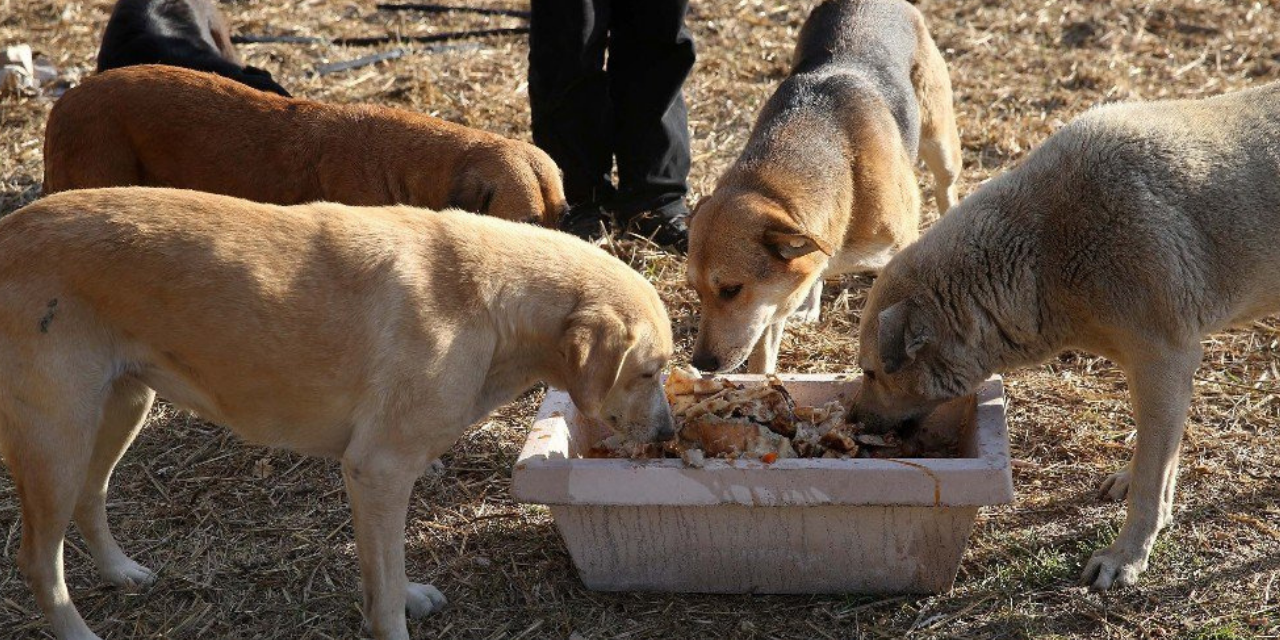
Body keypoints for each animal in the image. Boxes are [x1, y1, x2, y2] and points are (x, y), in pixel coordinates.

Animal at [0, 186, 675, 640]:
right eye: (650, 371)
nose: (670, 437)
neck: (489, 303)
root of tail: (10, 230)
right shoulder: (379, 469)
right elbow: (384, 588)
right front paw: (396, 619)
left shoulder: (373, 480)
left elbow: (384, 572)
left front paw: (408, 595)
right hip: (56, 439)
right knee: (38, 559)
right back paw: (78, 629)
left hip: (121, 409)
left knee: (91, 500)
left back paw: (121, 572)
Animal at [691, 0, 962, 373]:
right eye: (696, 291)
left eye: (731, 289)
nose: (701, 363)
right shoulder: (775, 297)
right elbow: (763, 350)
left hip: (940, 142)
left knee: (946, 188)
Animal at [849, 83, 1280, 588]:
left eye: (870, 372)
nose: (852, 422)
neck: (1042, 257)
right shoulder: (1154, 370)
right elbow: (1156, 454)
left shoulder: (1167, 360)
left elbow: (1153, 476)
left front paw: (1126, 556)